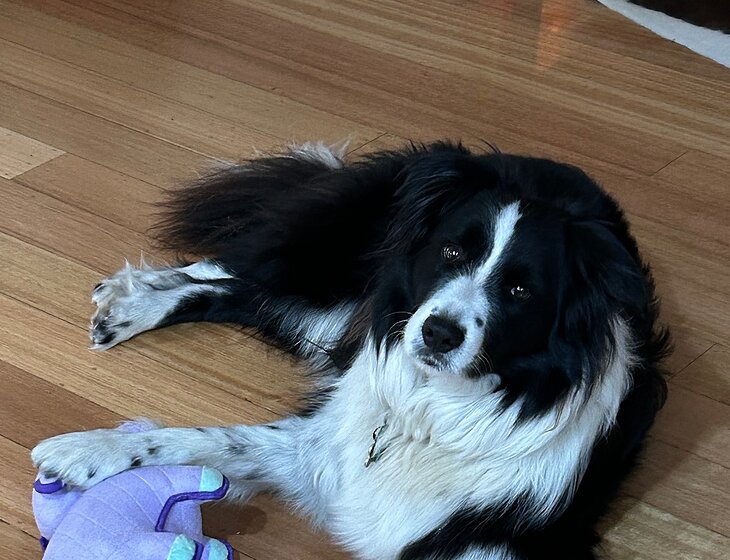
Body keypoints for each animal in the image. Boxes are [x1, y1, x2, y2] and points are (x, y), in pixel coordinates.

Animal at [32, 141, 669, 560]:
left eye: (520, 290)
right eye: (451, 252)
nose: (438, 334)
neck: (430, 418)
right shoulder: (322, 446)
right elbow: (202, 437)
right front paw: (88, 451)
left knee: (242, 292)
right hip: (342, 273)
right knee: (234, 267)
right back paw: (130, 300)